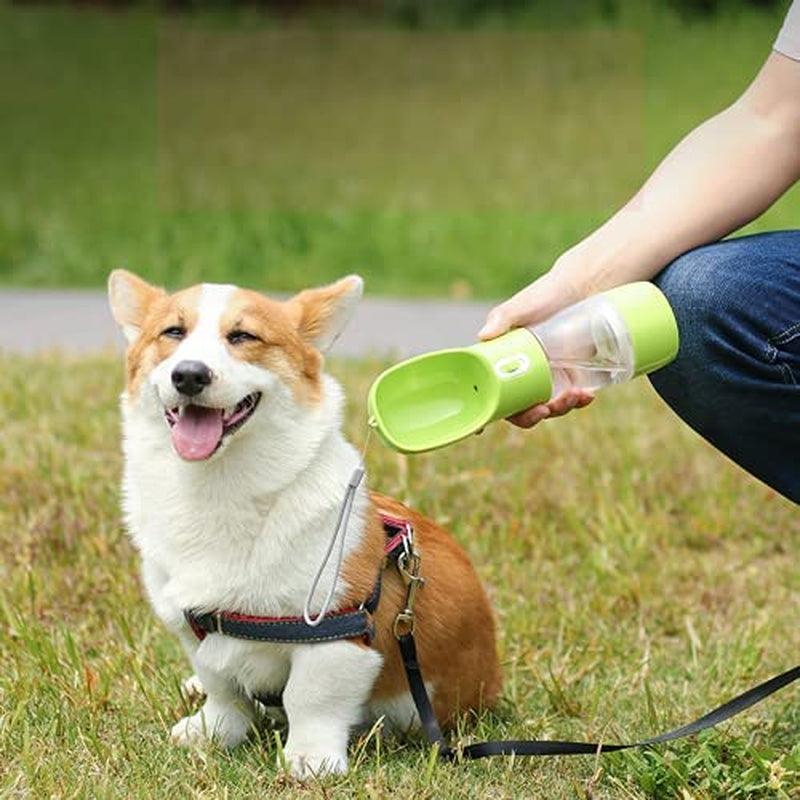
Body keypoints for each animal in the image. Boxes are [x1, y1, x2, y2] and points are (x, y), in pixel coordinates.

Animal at [108, 272, 500, 780]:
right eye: (173, 332)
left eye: (243, 336)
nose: (189, 375)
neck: (219, 488)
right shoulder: (193, 629)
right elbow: (223, 689)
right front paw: (212, 732)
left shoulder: (336, 635)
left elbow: (310, 698)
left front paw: (310, 760)